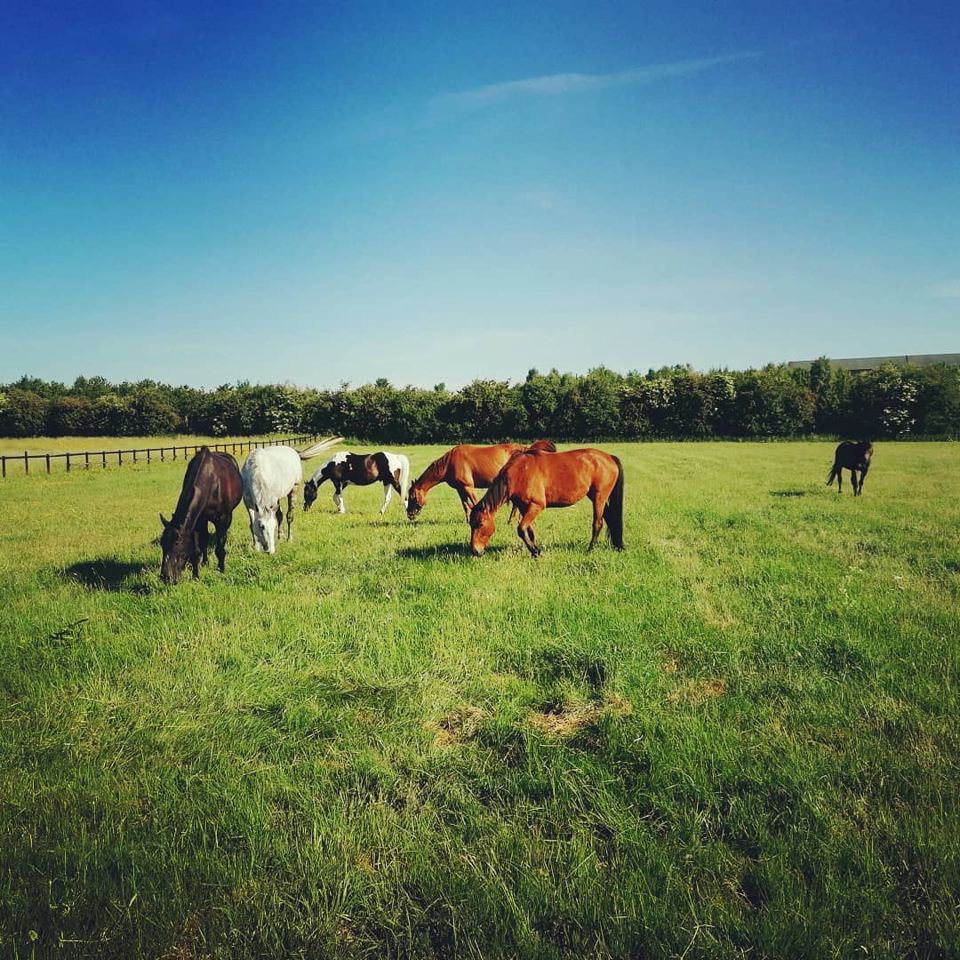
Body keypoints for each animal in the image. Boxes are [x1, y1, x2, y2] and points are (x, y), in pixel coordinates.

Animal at [159, 447, 243, 584]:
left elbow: (220, 547)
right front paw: (196, 575)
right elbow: (197, 549)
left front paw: (221, 569)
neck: (212, 481)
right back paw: (204, 562)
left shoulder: (223, 519)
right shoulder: (198, 520)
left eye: (176, 543)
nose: (166, 577)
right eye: (162, 544)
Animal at [406, 440, 556, 521]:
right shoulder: (460, 489)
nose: (409, 514)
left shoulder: (468, 487)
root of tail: (526, 449)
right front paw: (467, 520)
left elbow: (473, 503)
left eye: (412, 497)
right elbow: (465, 505)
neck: (449, 463)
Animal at [469, 447, 624, 558]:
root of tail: (609, 457)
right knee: (610, 518)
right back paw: (617, 546)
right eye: (470, 524)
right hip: (597, 497)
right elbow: (529, 531)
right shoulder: (524, 507)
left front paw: (535, 552)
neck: (519, 473)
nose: (475, 551)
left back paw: (590, 549)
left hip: (599, 497)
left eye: (480, 524)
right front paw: (536, 551)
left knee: (598, 523)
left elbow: (521, 529)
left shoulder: (536, 506)